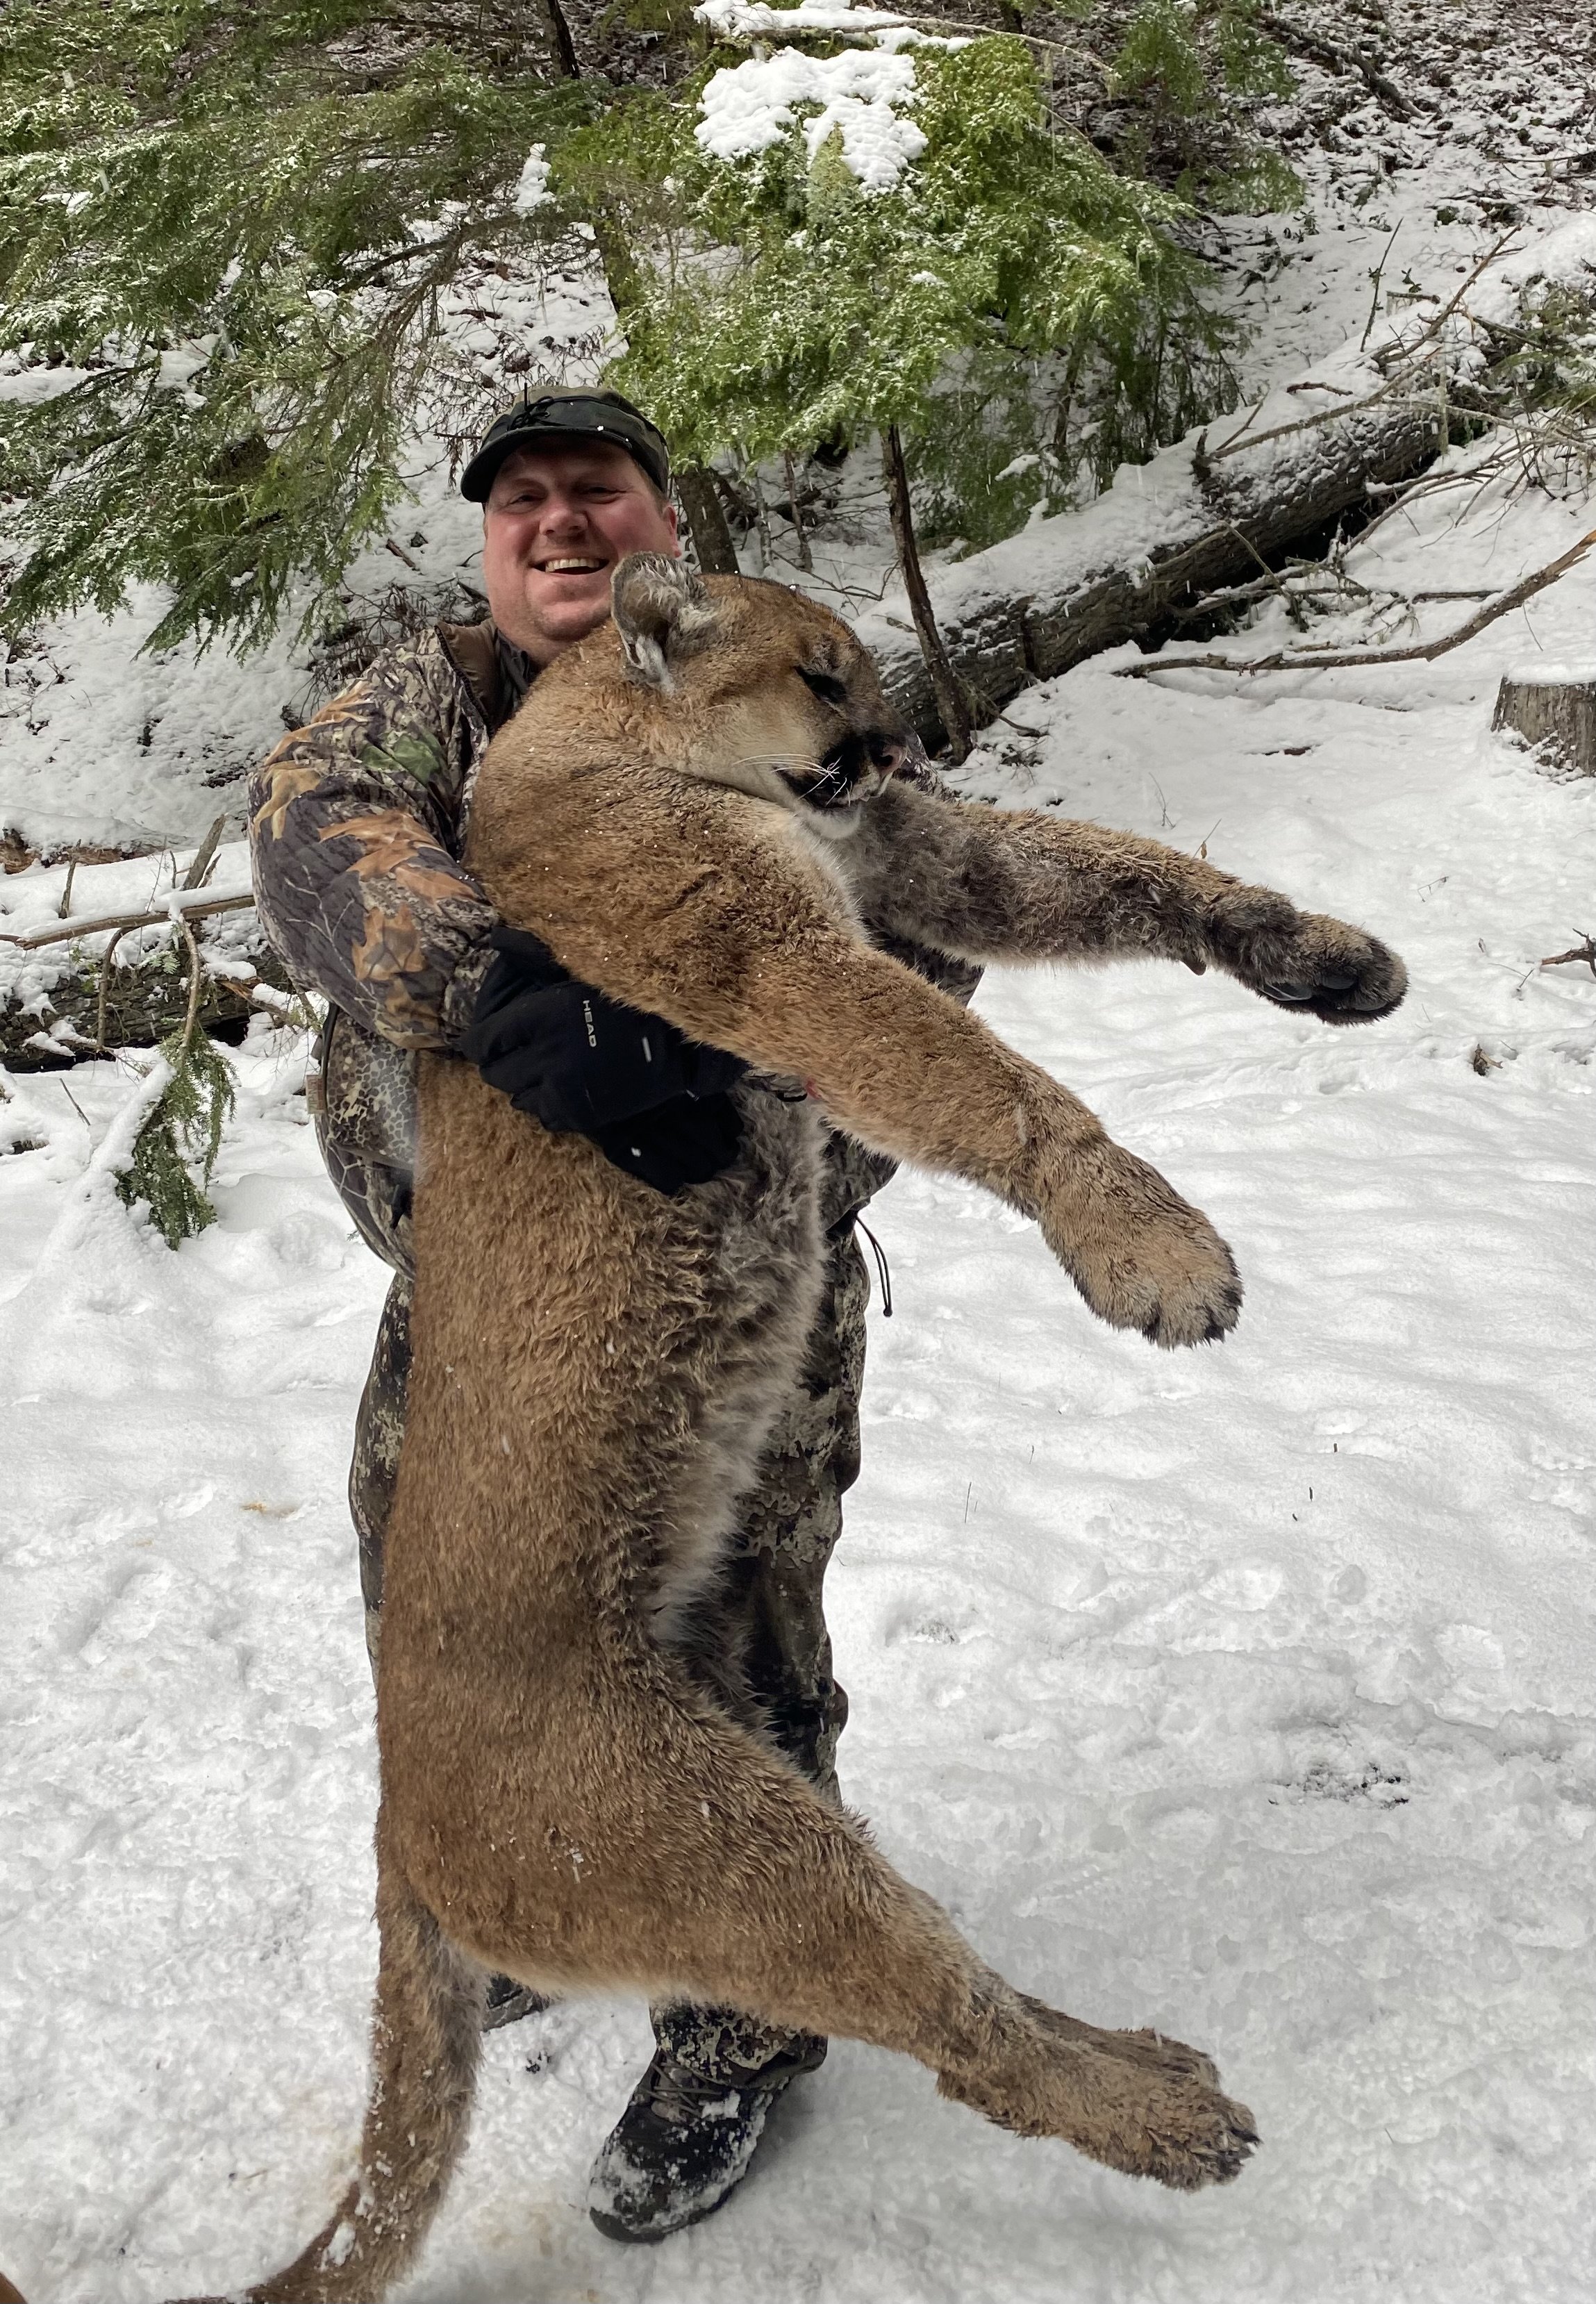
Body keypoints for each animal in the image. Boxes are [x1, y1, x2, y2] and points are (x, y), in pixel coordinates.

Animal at [25, 557, 1407, 2304]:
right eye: (820, 672)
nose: (896, 744)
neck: (609, 736)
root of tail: (396, 1827)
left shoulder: (903, 859)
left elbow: (1113, 870)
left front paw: (1322, 955)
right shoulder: (773, 955)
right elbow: (984, 1079)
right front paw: (1153, 1251)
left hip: (751, 1727)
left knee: (936, 1980)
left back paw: (1152, 2068)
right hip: (719, 1841)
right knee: (950, 2025)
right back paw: (1165, 2114)